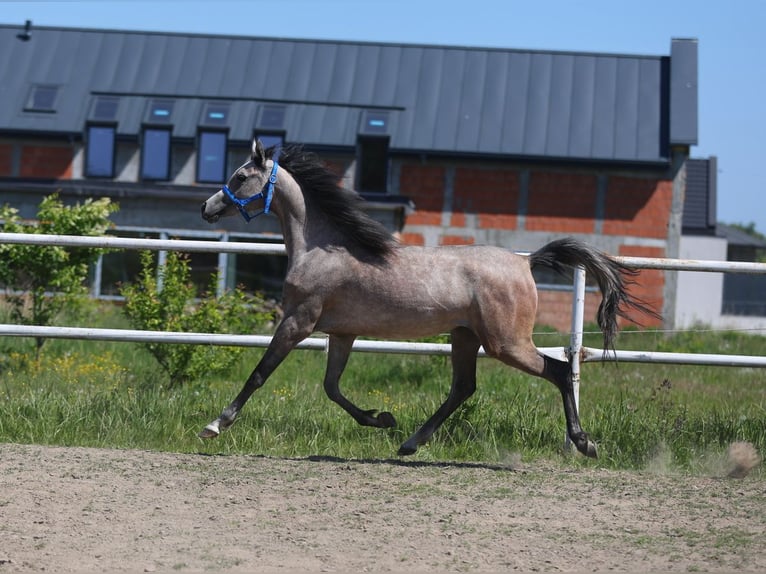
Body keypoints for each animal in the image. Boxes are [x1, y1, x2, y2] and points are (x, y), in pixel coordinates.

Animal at [198, 142, 656, 462]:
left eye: (240, 176)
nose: (207, 207)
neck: (321, 248)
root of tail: (526, 263)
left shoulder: (299, 321)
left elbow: (260, 374)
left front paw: (215, 425)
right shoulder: (342, 333)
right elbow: (331, 387)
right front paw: (380, 418)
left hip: (505, 343)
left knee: (558, 372)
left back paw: (584, 443)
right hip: (465, 337)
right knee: (464, 388)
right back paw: (409, 442)